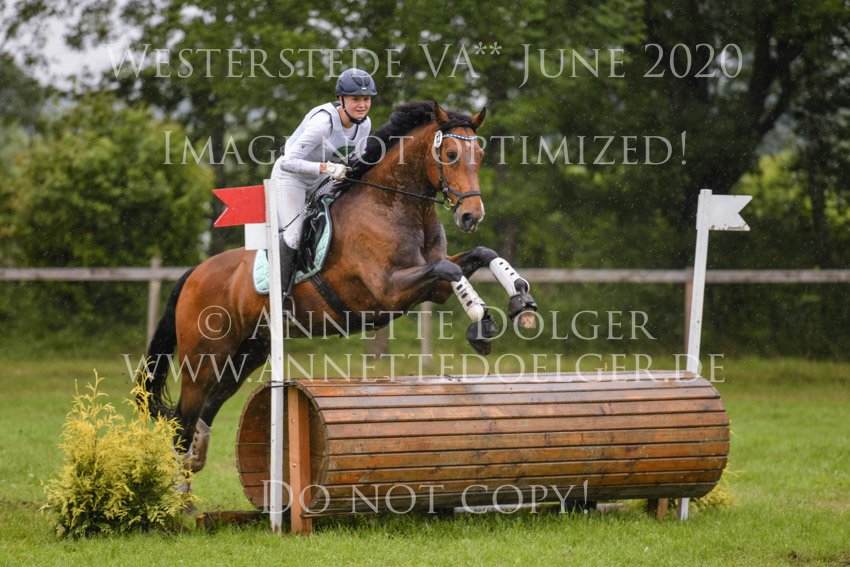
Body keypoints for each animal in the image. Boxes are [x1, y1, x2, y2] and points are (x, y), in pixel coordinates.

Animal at [142, 100, 538, 478]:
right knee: (182, 419)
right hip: (203, 359)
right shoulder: (389, 288)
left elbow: (481, 254)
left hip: (247, 352)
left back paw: (195, 463)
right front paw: (482, 322)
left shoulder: (433, 290)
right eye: (451, 154)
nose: (471, 216)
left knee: (207, 409)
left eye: (480, 156)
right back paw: (181, 495)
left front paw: (522, 303)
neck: (395, 203)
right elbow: (451, 267)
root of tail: (194, 273)